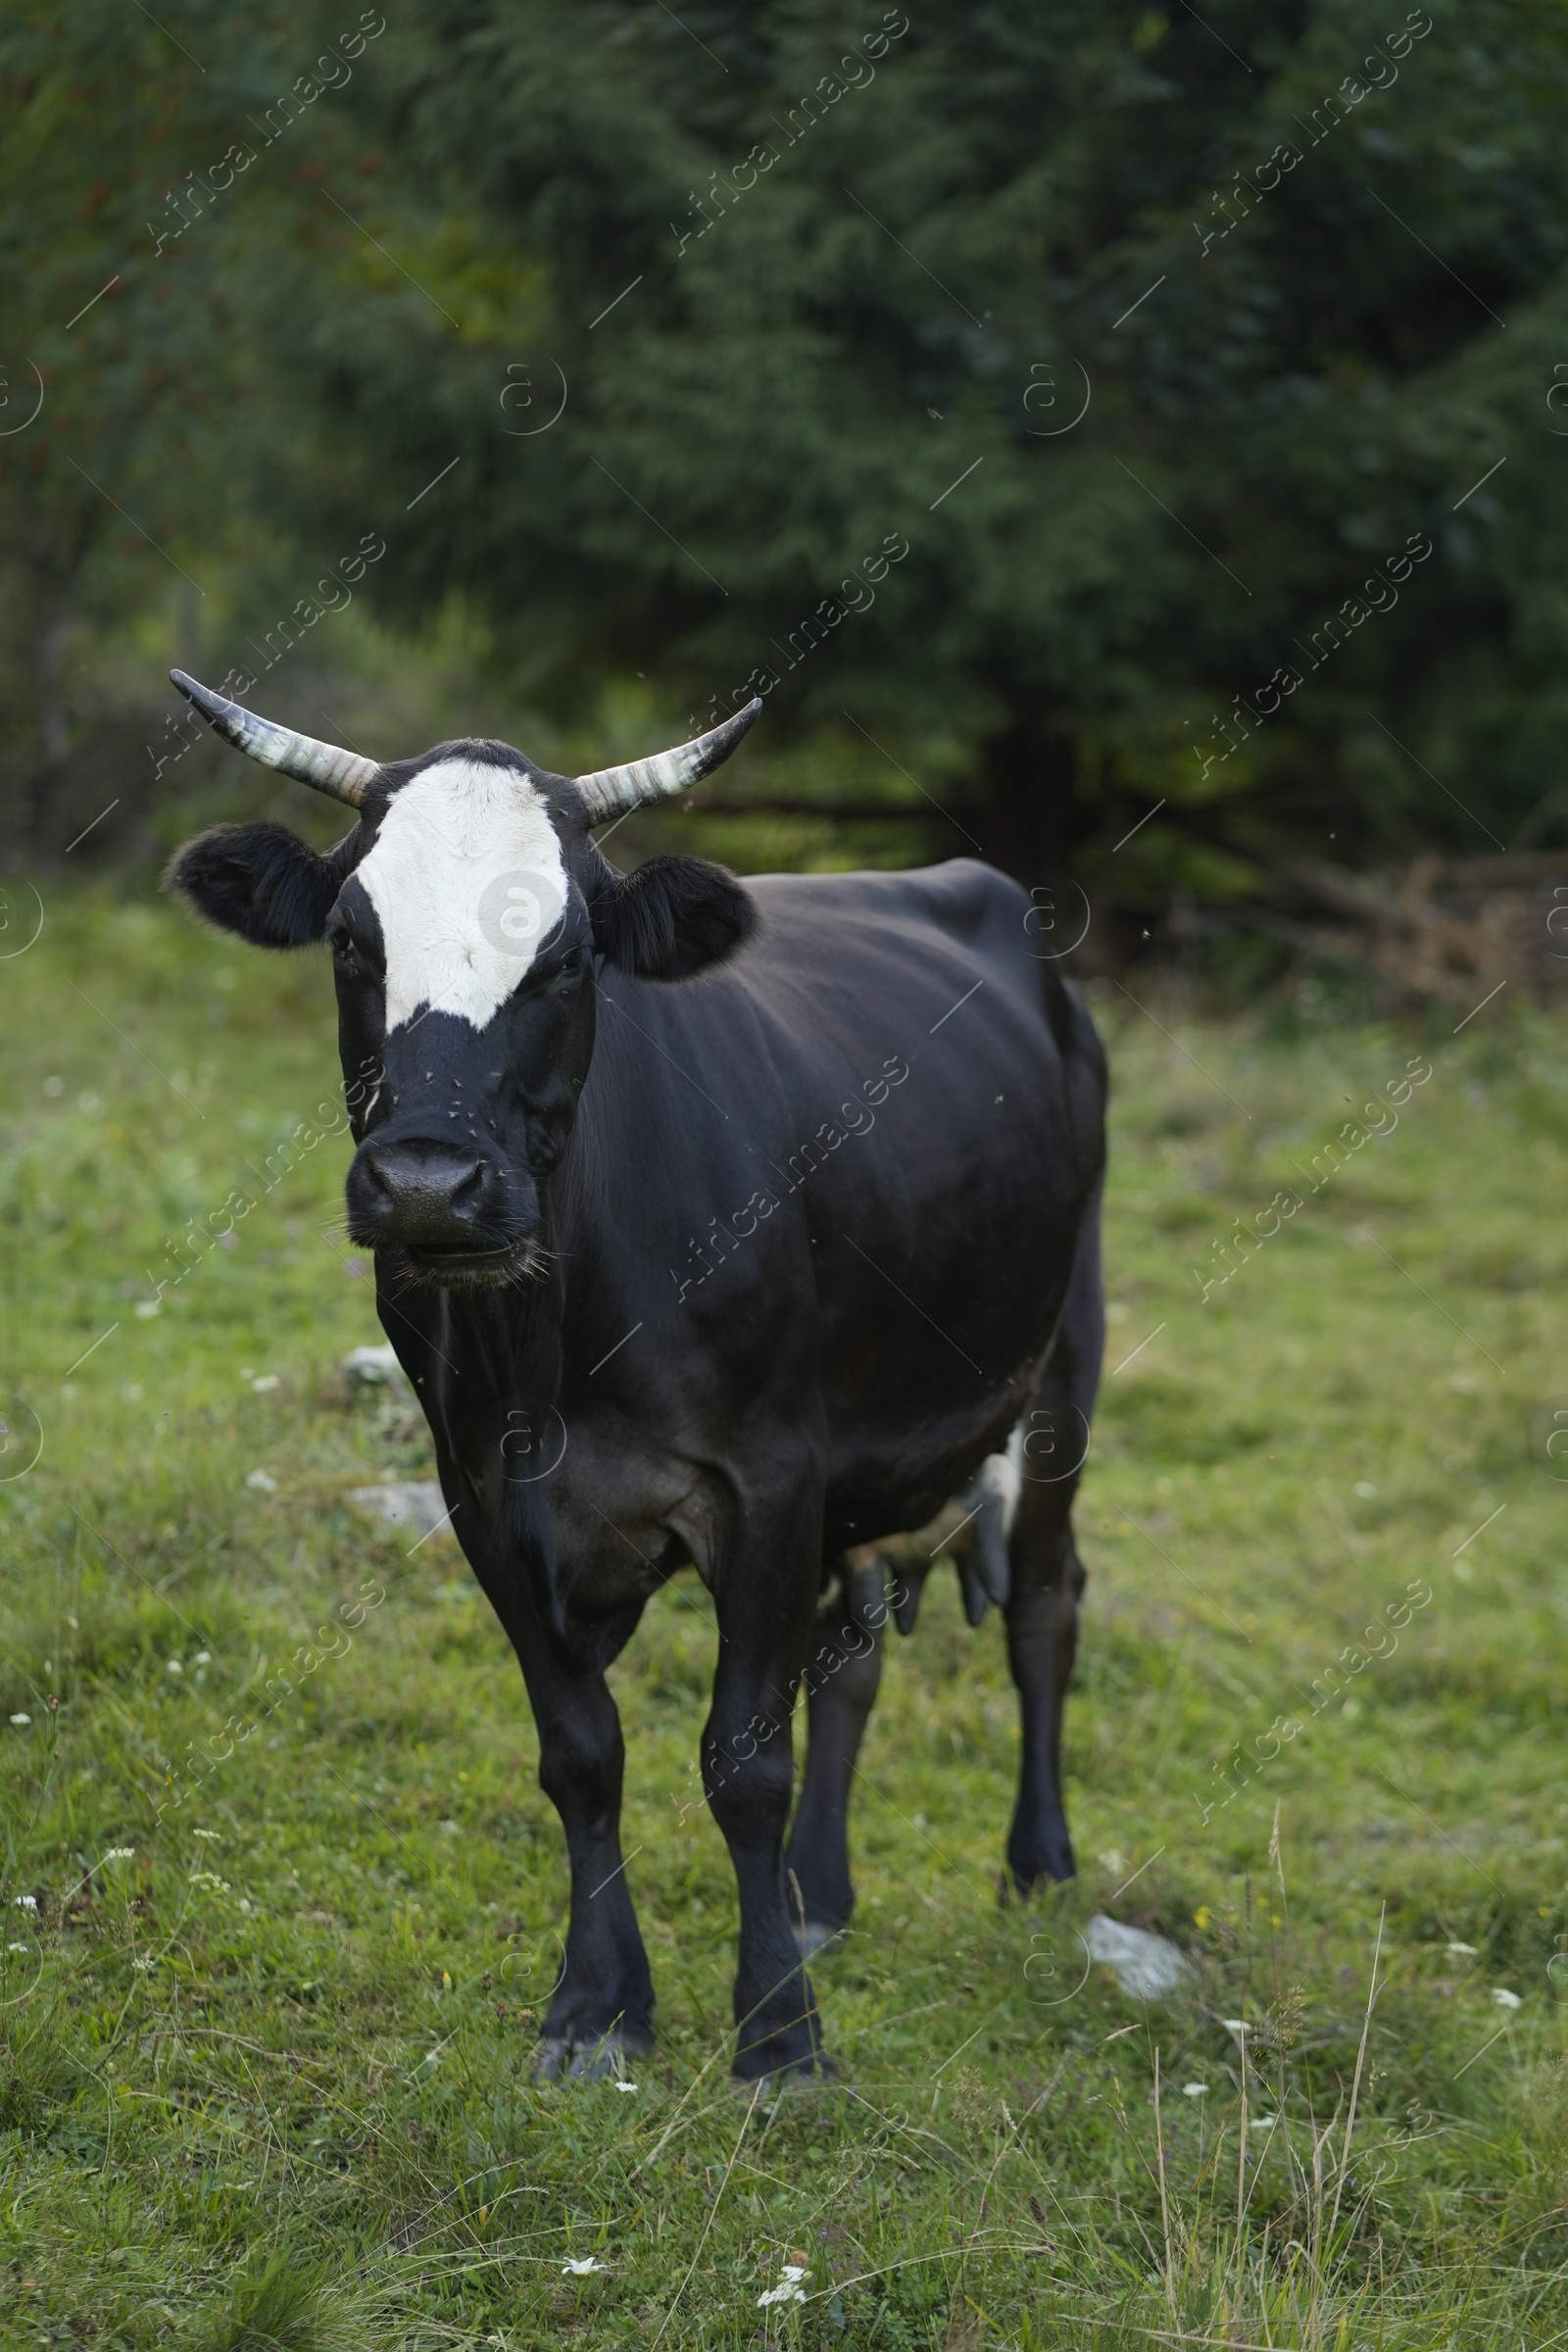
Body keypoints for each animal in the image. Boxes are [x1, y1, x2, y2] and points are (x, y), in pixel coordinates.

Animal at [166, 672, 1109, 2088]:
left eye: (566, 959)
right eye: (348, 941)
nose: (429, 1184)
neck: (549, 1360)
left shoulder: (767, 1476)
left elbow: (743, 1759)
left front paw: (778, 2037)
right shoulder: (480, 1495)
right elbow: (582, 1754)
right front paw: (598, 2006)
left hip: (1061, 1360)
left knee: (1045, 1602)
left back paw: (1037, 1862)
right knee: (853, 1651)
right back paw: (819, 1895)